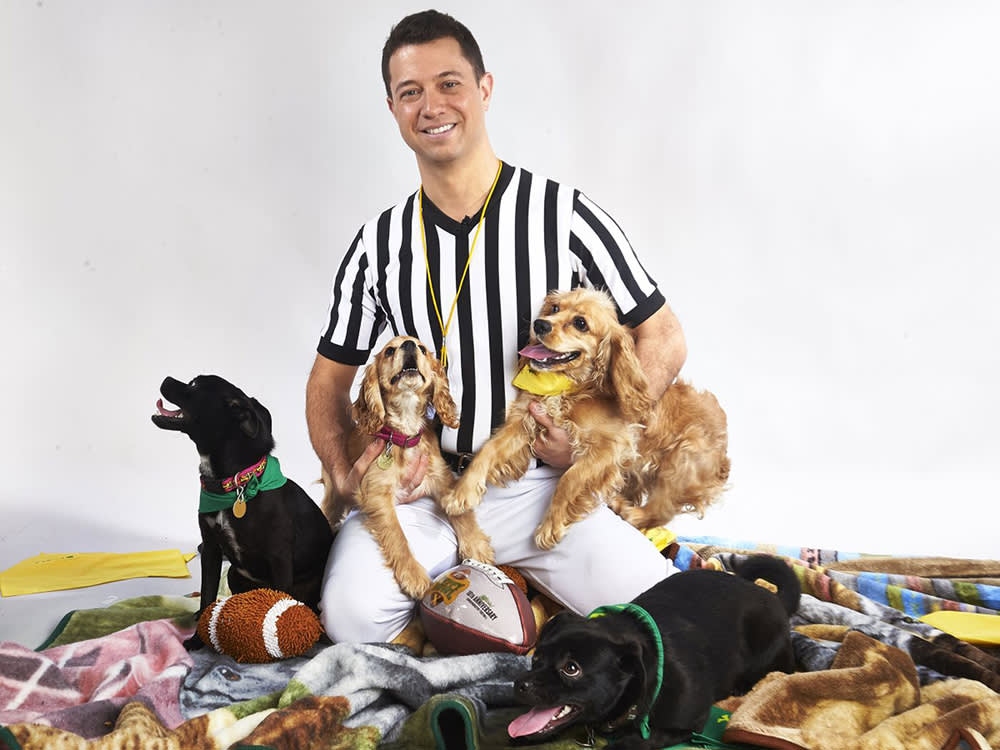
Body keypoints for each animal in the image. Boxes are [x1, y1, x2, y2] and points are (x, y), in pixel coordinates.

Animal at [151, 378, 332, 648]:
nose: (166, 380)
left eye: (194, 385)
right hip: (234, 576)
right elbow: (207, 596)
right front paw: (197, 639)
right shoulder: (210, 548)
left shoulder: (279, 557)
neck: (235, 484)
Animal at [320, 338, 492, 604]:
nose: (409, 344)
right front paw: (413, 576)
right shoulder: (377, 494)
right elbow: (397, 536)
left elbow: (461, 513)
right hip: (334, 495)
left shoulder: (441, 478)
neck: (406, 428)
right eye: (389, 351)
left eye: (422, 349)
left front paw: (476, 545)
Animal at [442, 286, 732, 548]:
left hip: (681, 464)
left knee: (661, 511)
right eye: (554, 308)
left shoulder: (610, 448)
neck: (571, 386)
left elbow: (570, 479)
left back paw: (630, 512)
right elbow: (488, 450)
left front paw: (551, 525)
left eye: (580, 323)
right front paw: (462, 492)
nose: (539, 324)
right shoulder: (524, 421)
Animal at [512, 556, 800, 748]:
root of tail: (774, 598)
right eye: (536, 658)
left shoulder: (685, 725)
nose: (519, 684)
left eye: (571, 668)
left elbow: (632, 742)